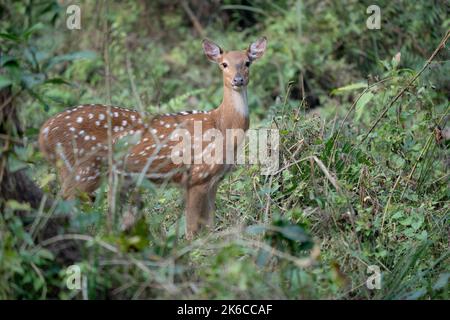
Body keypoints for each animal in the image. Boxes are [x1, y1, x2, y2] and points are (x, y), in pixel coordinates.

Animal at [38, 36, 268, 239]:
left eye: (247, 62)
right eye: (224, 64)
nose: (238, 80)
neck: (222, 125)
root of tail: (43, 133)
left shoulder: (214, 180)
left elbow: (210, 227)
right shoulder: (196, 175)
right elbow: (192, 229)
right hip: (83, 169)